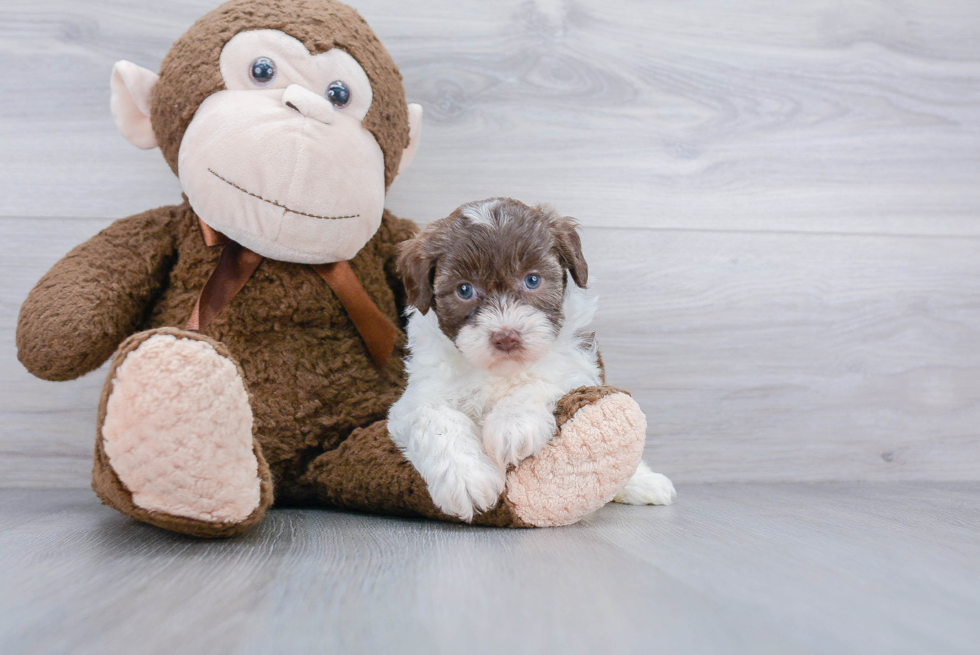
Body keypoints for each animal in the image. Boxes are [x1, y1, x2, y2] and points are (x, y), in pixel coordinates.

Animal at [386, 197, 676, 520]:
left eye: (532, 280)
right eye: (464, 290)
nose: (506, 337)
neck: (499, 371)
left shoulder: (577, 362)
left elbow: (542, 378)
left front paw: (511, 424)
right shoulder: (417, 396)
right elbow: (435, 418)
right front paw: (466, 478)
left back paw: (644, 482)